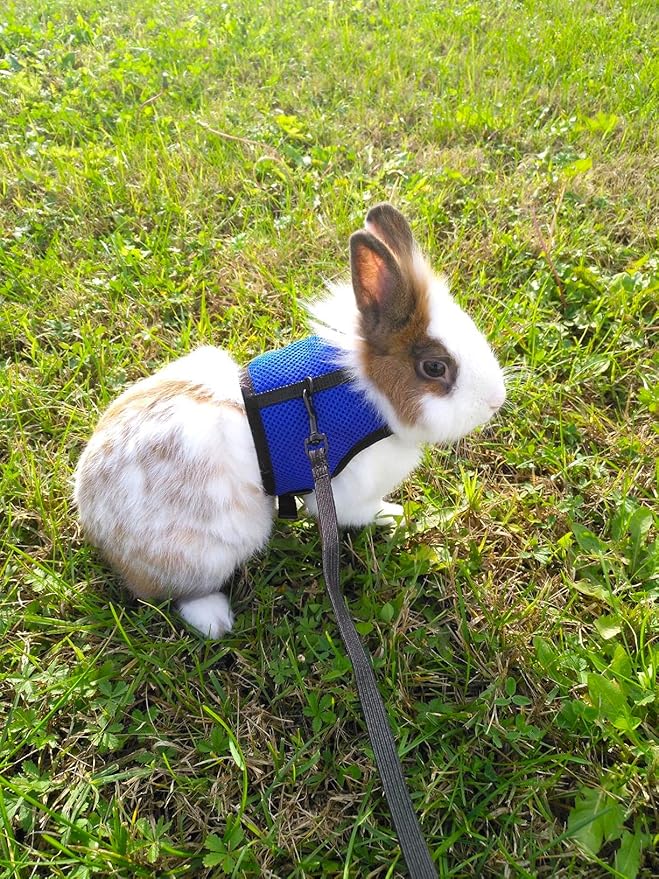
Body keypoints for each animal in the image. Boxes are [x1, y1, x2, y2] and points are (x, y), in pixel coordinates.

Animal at [73, 204, 506, 638]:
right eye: (434, 367)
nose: (495, 400)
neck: (365, 393)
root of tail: (94, 520)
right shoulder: (344, 490)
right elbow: (361, 511)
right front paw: (392, 515)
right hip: (209, 548)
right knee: (172, 594)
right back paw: (215, 620)